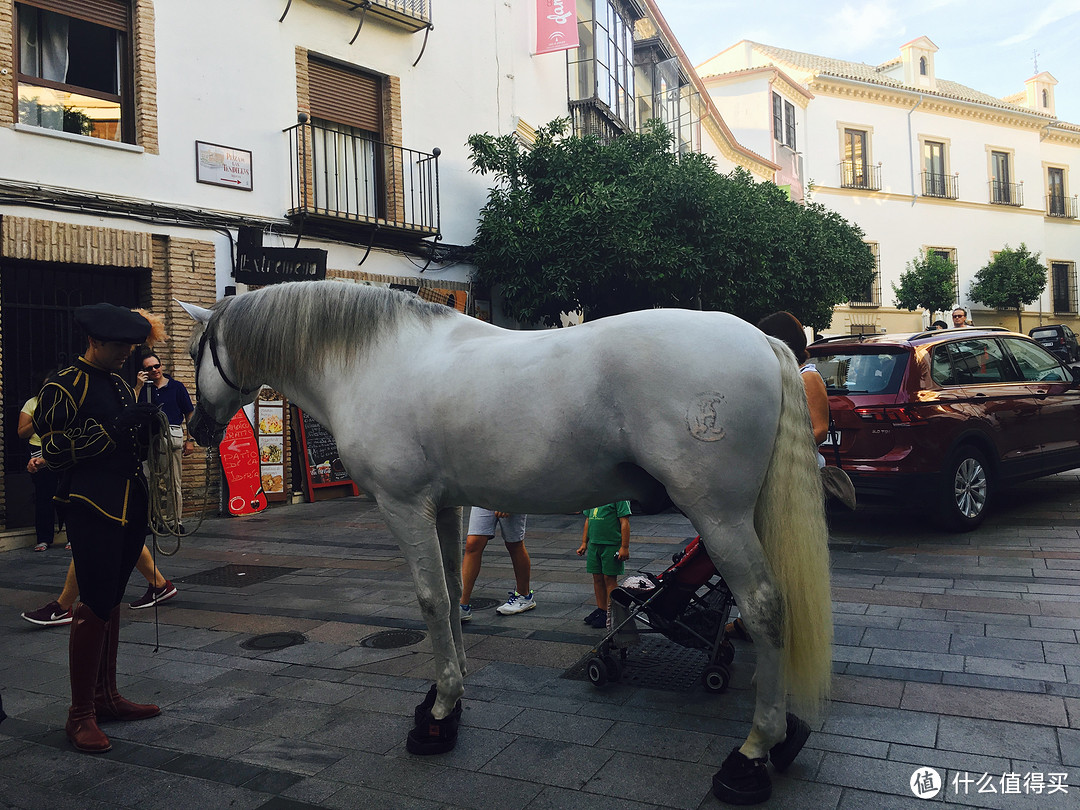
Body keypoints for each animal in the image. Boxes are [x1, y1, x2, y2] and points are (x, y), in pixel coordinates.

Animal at [181, 280, 829, 807]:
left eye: (192, 353)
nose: (195, 429)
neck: (377, 361)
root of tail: (761, 342)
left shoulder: (403, 505)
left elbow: (430, 600)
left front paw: (440, 711)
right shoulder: (443, 506)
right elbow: (450, 591)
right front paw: (447, 692)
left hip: (719, 516)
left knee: (765, 607)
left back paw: (752, 753)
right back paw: (783, 736)